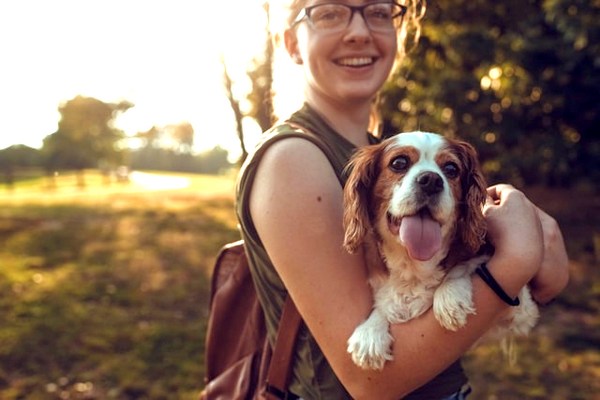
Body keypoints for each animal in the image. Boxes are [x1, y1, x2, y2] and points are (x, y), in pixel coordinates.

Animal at [342, 133, 540, 370]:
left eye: (451, 168)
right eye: (399, 163)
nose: (431, 180)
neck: (414, 265)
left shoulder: (522, 311)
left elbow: (467, 265)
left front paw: (450, 295)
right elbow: (385, 302)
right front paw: (370, 331)